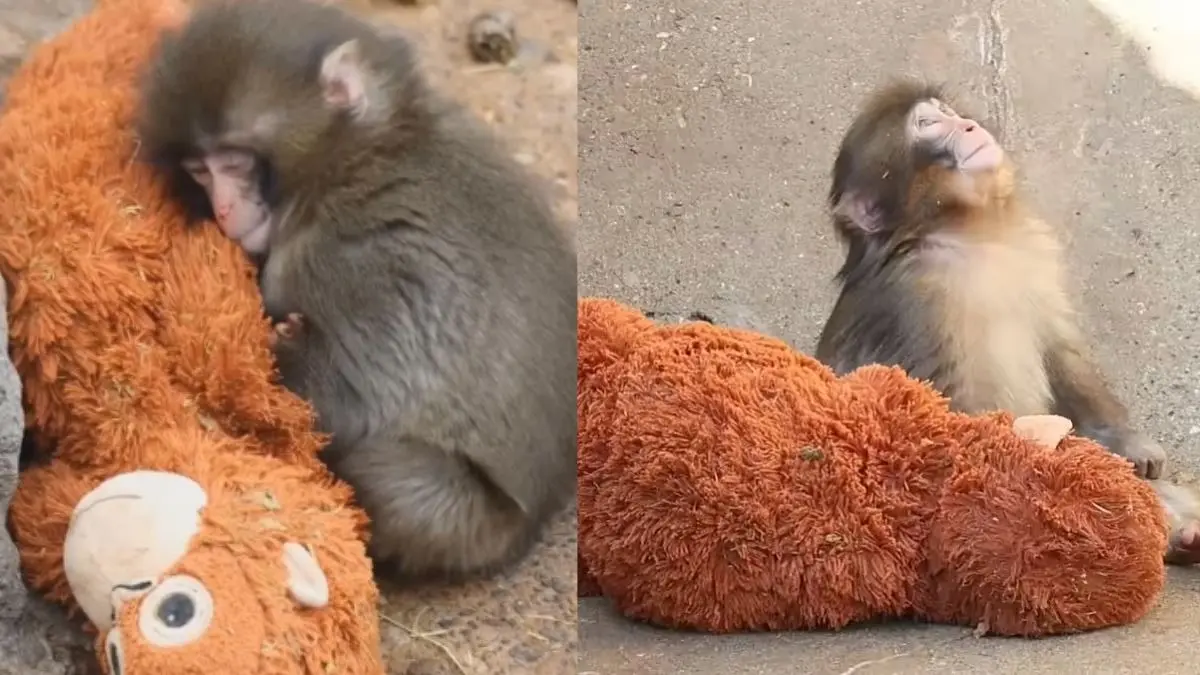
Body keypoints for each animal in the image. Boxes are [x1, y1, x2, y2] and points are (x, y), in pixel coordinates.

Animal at [134, 0, 578, 583]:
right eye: (199, 171)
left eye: (234, 161)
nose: (225, 210)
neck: (363, 154)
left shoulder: (359, 259)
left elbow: (353, 402)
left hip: (473, 525)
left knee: (391, 481)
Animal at [813, 80, 1200, 564]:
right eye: (928, 124)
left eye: (945, 113)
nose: (967, 125)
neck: (968, 233)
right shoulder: (919, 301)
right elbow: (954, 420)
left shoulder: (1032, 250)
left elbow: (1061, 351)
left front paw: (1127, 442)